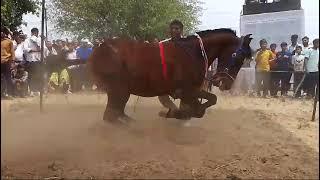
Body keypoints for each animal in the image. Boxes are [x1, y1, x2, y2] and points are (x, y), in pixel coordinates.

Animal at [89, 28, 251, 124]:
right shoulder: (187, 90)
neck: (194, 52)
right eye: (238, 57)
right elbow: (204, 104)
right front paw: (173, 113)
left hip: (120, 91)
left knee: (115, 114)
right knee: (111, 116)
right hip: (119, 89)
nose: (226, 84)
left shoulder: (189, 91)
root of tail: (100, 48)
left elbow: (206, 103)